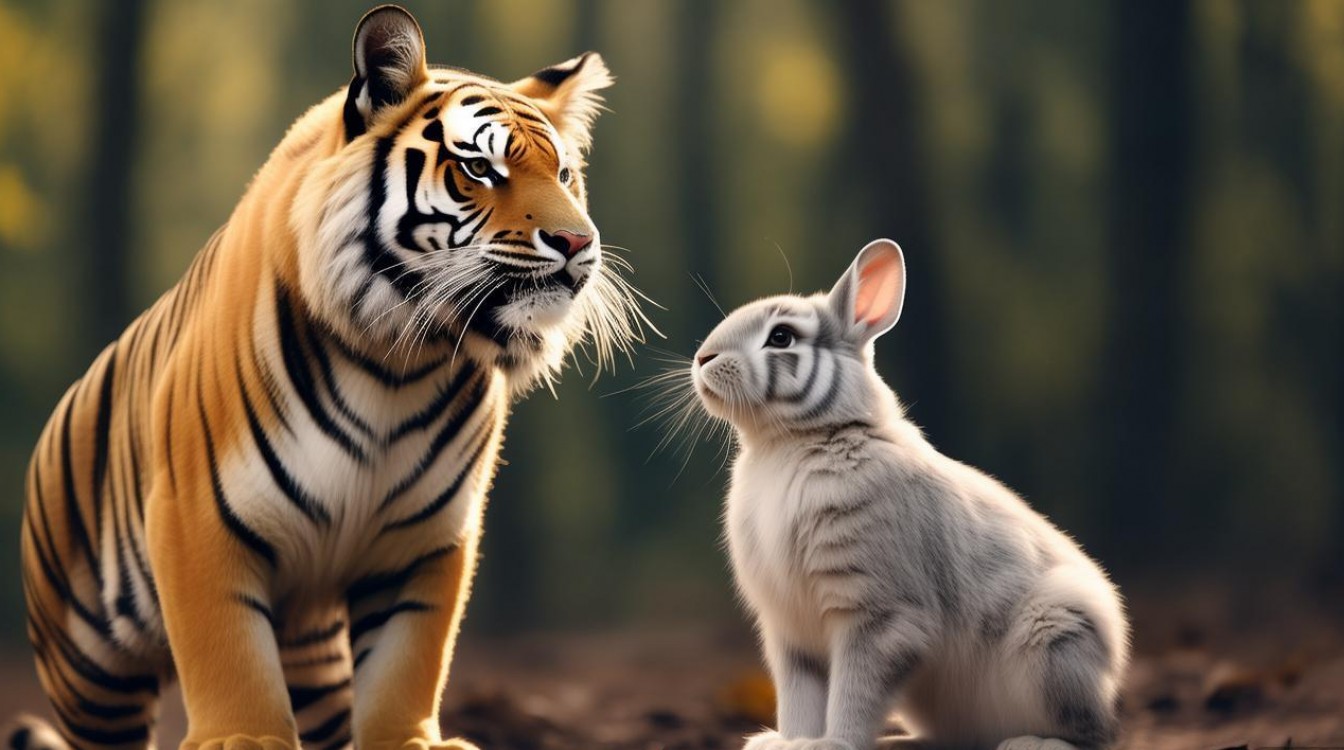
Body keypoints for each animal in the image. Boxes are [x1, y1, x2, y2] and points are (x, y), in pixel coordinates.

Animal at [8, 6, 646, 750]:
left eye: (566, 173)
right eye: (479, 168)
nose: (578, 243)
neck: (400, 362)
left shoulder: (424, 543)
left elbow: (407, 660)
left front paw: (408, 740)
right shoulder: (198, 523)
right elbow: (227, 651)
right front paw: (241, 738)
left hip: (309, 653)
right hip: (92, 673)